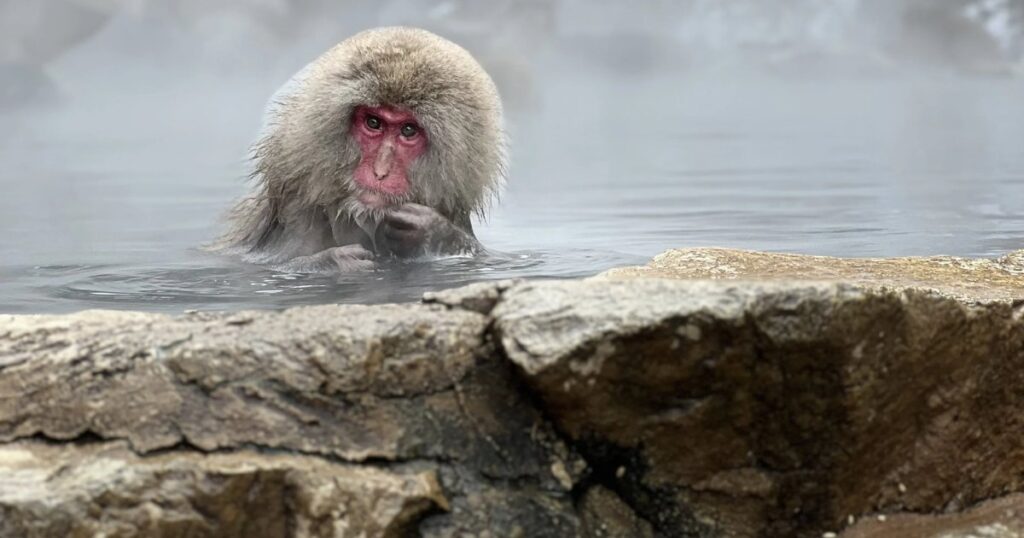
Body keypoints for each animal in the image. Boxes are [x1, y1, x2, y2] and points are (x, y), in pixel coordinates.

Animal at [211, 27, 507, 272]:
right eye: (373, 123)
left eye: (408, 130)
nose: (380, 172)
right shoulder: (295, 215)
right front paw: (333, 262)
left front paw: (432, 231)